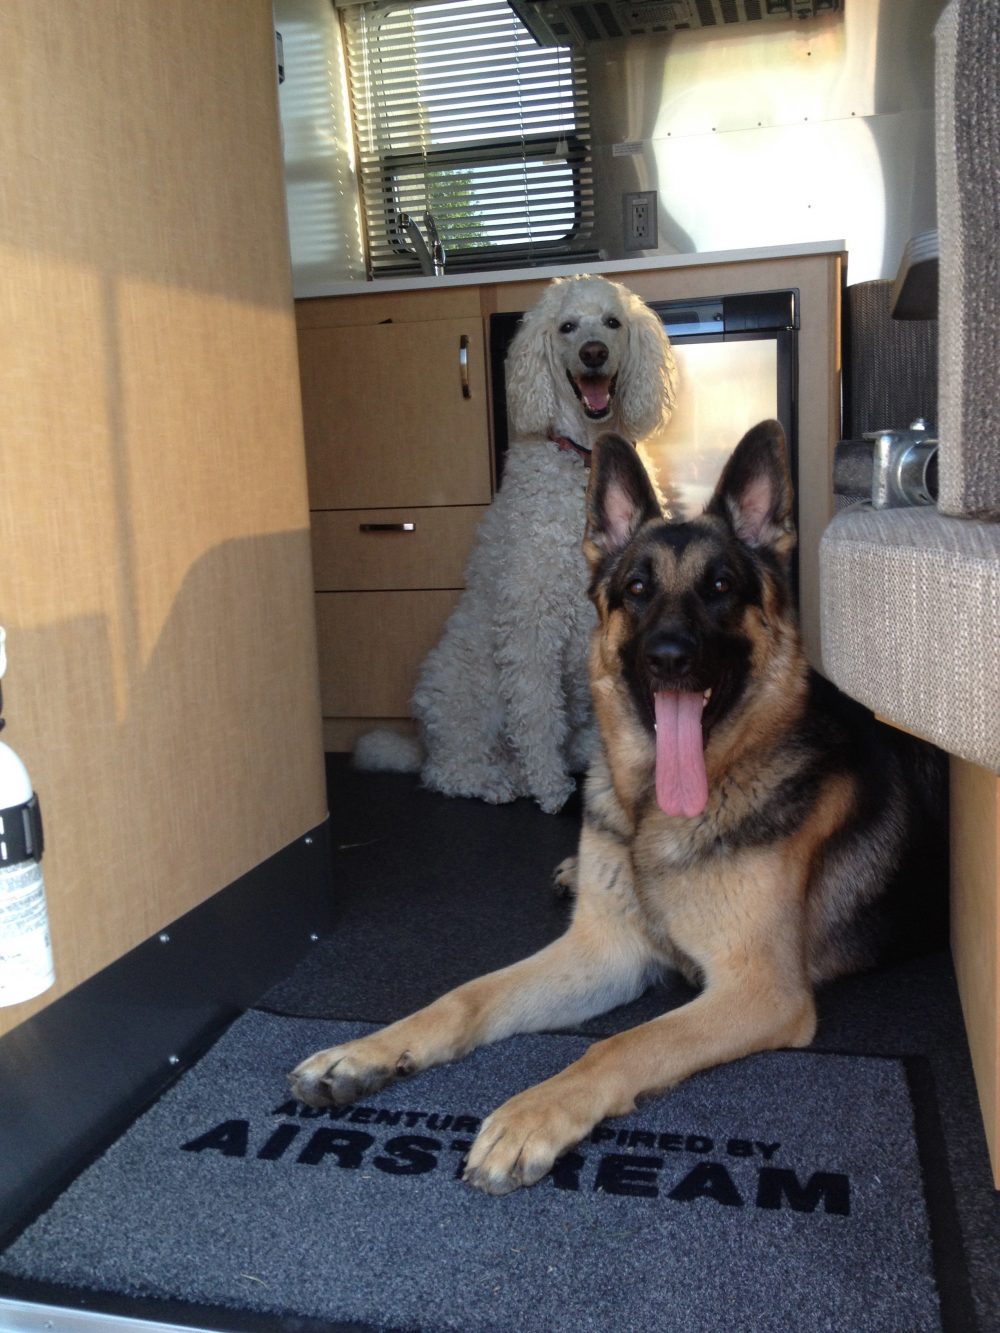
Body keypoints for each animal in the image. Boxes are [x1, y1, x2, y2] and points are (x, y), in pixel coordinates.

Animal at [293, 420, 946, 1195]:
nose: (668, 656)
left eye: (720, 587)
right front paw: (367, 1051)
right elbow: (467, 996)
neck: (649, 818)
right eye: (637, 589)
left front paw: (531, 1114)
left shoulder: (757, 992)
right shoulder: (601, 951)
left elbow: (621, 1045)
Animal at [354, 274, 677, 814]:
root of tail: (423, 740)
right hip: (469, 694)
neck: (586, 465)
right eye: (567, 327)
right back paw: (502, 781)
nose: (593, 352)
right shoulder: (531, 621)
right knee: (449, 770)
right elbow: (537, 710)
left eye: (613, 322)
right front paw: (552, 789)